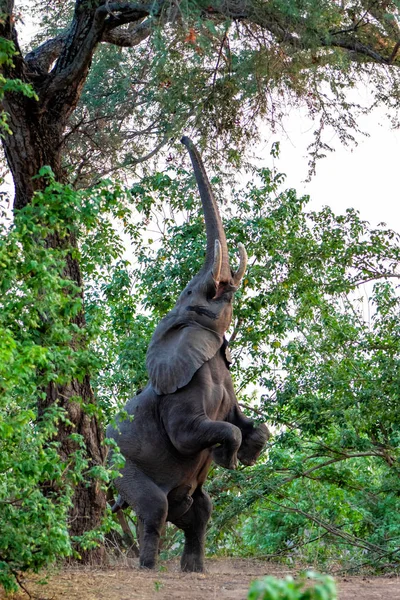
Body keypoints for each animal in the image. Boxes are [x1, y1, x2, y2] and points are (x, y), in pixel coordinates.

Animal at [106, 136, 268, 572]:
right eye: (194, 292)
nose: (180, 138)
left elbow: (241, 422)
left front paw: (250, 451)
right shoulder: (179, 396)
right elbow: (187, 435)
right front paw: (230, 459)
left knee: (200, 511)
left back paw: (193, 569)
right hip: (121, 466)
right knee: (155, 508)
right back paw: (148, 568)